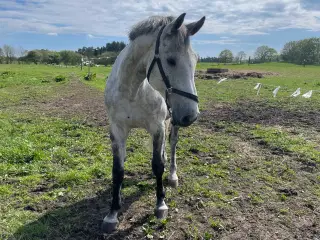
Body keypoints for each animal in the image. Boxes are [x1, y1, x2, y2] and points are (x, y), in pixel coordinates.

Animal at [104, 12, 206, 232]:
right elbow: (118, 170)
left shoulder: (157, 127)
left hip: (172, 122)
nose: (191, 115)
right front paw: (112, 213)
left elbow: (158, 165)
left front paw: (160, 205)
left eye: (195, 60)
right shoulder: (117, 129)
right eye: (171, 60)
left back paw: (172, 176)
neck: (133, 91)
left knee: (173, 144)